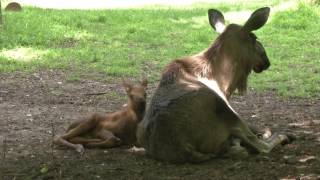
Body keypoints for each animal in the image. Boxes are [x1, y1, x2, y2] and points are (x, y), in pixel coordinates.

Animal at [136, 7, 288, 163]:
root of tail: (183, 147)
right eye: (254, 38)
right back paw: (278, 135)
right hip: (226, 111)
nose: (267, 61)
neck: (225, 82)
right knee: (261, 146)